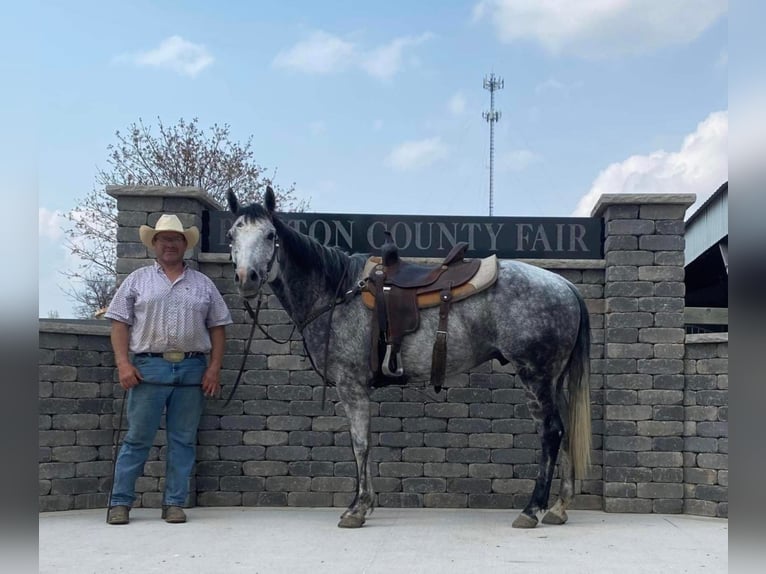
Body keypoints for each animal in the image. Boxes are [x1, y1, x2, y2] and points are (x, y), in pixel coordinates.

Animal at [228, 189, 592, 532]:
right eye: (232, 235)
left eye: (270, 235)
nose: (247, 278)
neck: (337, 293)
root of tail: (566, 285)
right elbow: (363, 442)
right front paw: (366, 504)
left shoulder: (351, 386)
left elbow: (359, 444)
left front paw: (356, 509)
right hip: (553, 379)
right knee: (564, 430)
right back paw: (559, 508)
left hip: (535, 376)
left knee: (551, 432)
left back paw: (532, 510)